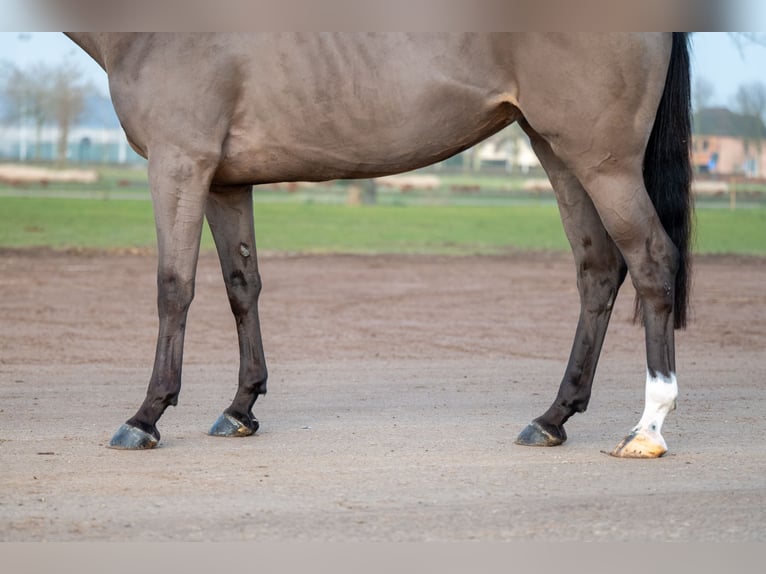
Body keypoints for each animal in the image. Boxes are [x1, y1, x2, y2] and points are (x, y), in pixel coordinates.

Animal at [64, 35, 696, 460]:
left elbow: (174, 287)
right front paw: (241, 408)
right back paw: (552, 418)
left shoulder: (179, 164)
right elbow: (242, 286)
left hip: (603, 162)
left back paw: (647, 429)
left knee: (651, 261)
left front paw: (145, 417)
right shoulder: (224, 181)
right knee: (598, 269)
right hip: (556, 149)